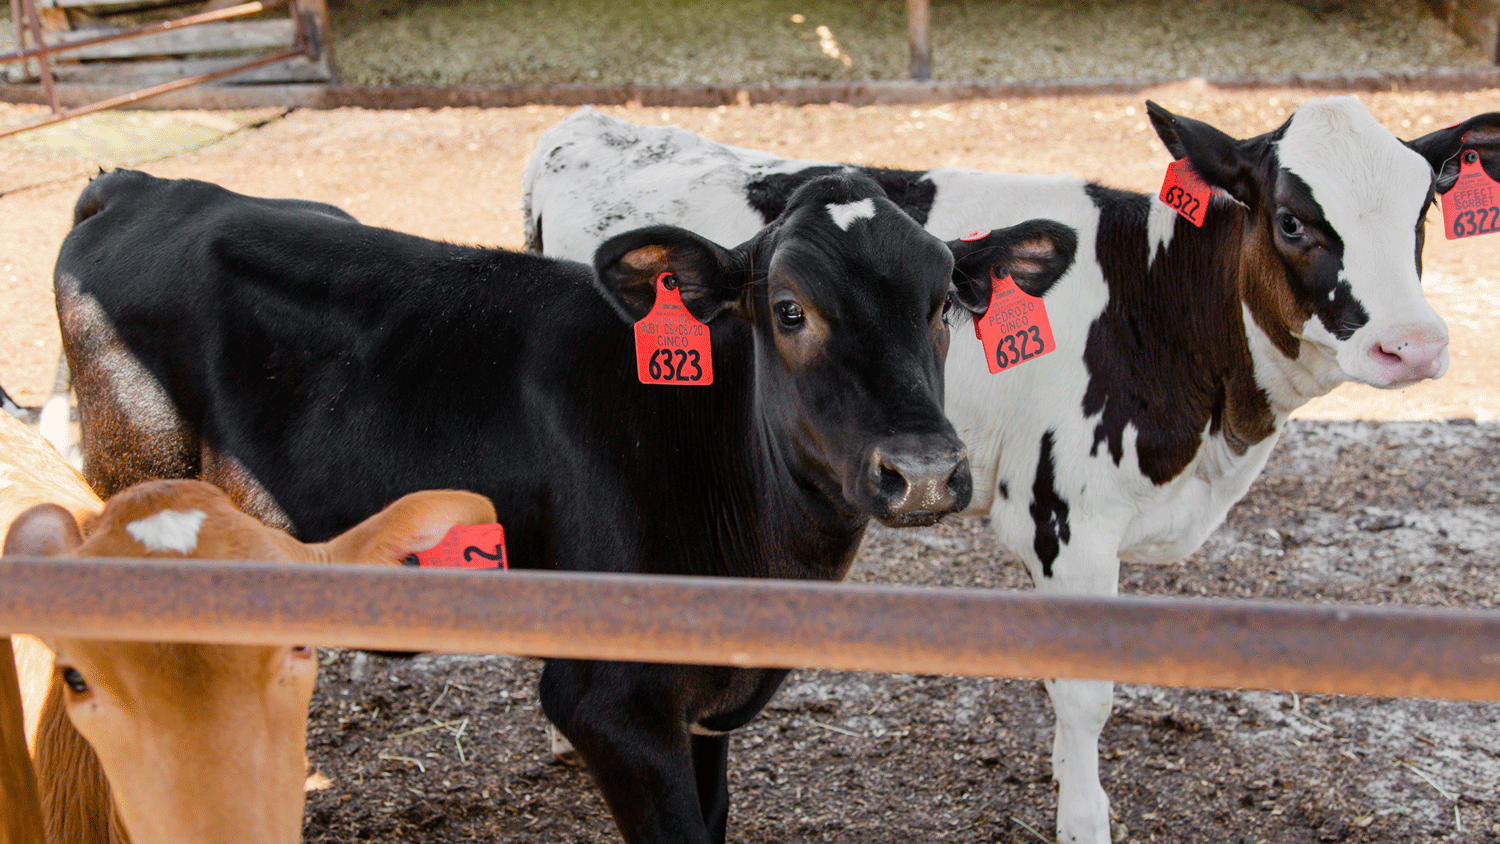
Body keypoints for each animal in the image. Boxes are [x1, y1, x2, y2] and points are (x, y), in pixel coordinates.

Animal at [49, 167, 1080, 844]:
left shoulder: (702, 707)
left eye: (944, 303)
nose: (924, 470)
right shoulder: (605, 702)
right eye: (788, 309)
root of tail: (139, 185)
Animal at [525, 100, 1500, 844]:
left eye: (1419, 214)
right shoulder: (1065, 511)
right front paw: (1084, 819)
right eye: (1294, 219)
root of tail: (587, 125)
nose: (1414, 345)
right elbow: (1085, 691)